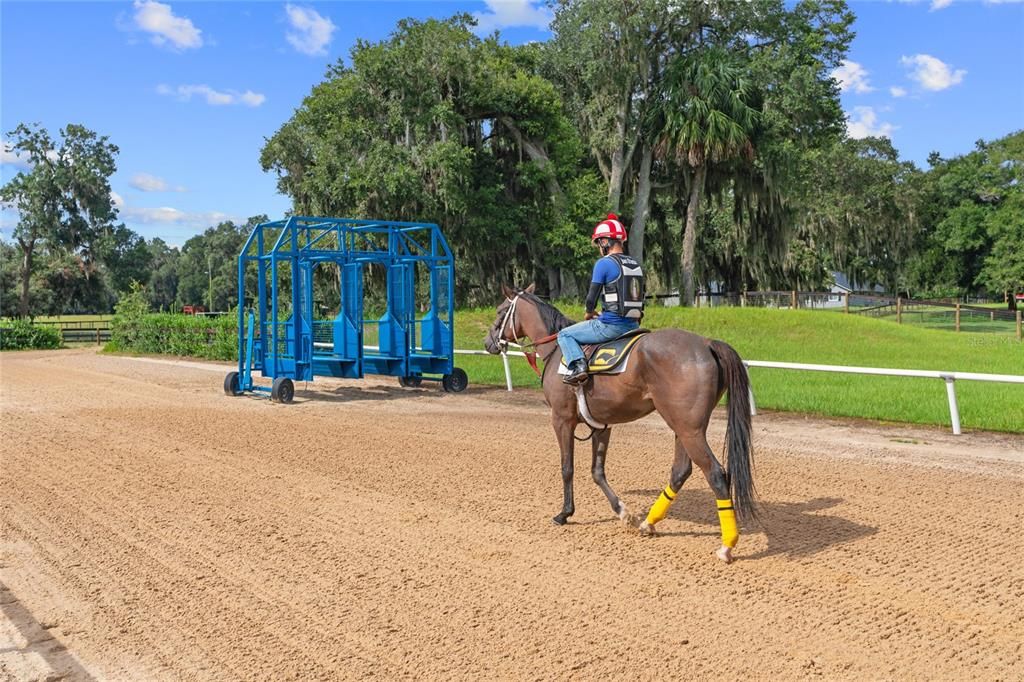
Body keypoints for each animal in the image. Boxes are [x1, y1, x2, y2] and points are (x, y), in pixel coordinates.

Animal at [483, 282, 757, 561]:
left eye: (500, 310)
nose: (489, 342)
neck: (557, 350)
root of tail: (706, 344)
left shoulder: (561, 419)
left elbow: (567, 468)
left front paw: (564, 513)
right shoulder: (601, 425)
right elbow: (597, 471)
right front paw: (623, 512)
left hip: (690, 430)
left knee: (715, 473)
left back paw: (727, 545)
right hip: (683, 427)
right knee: (680, 471)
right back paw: (649, 523)